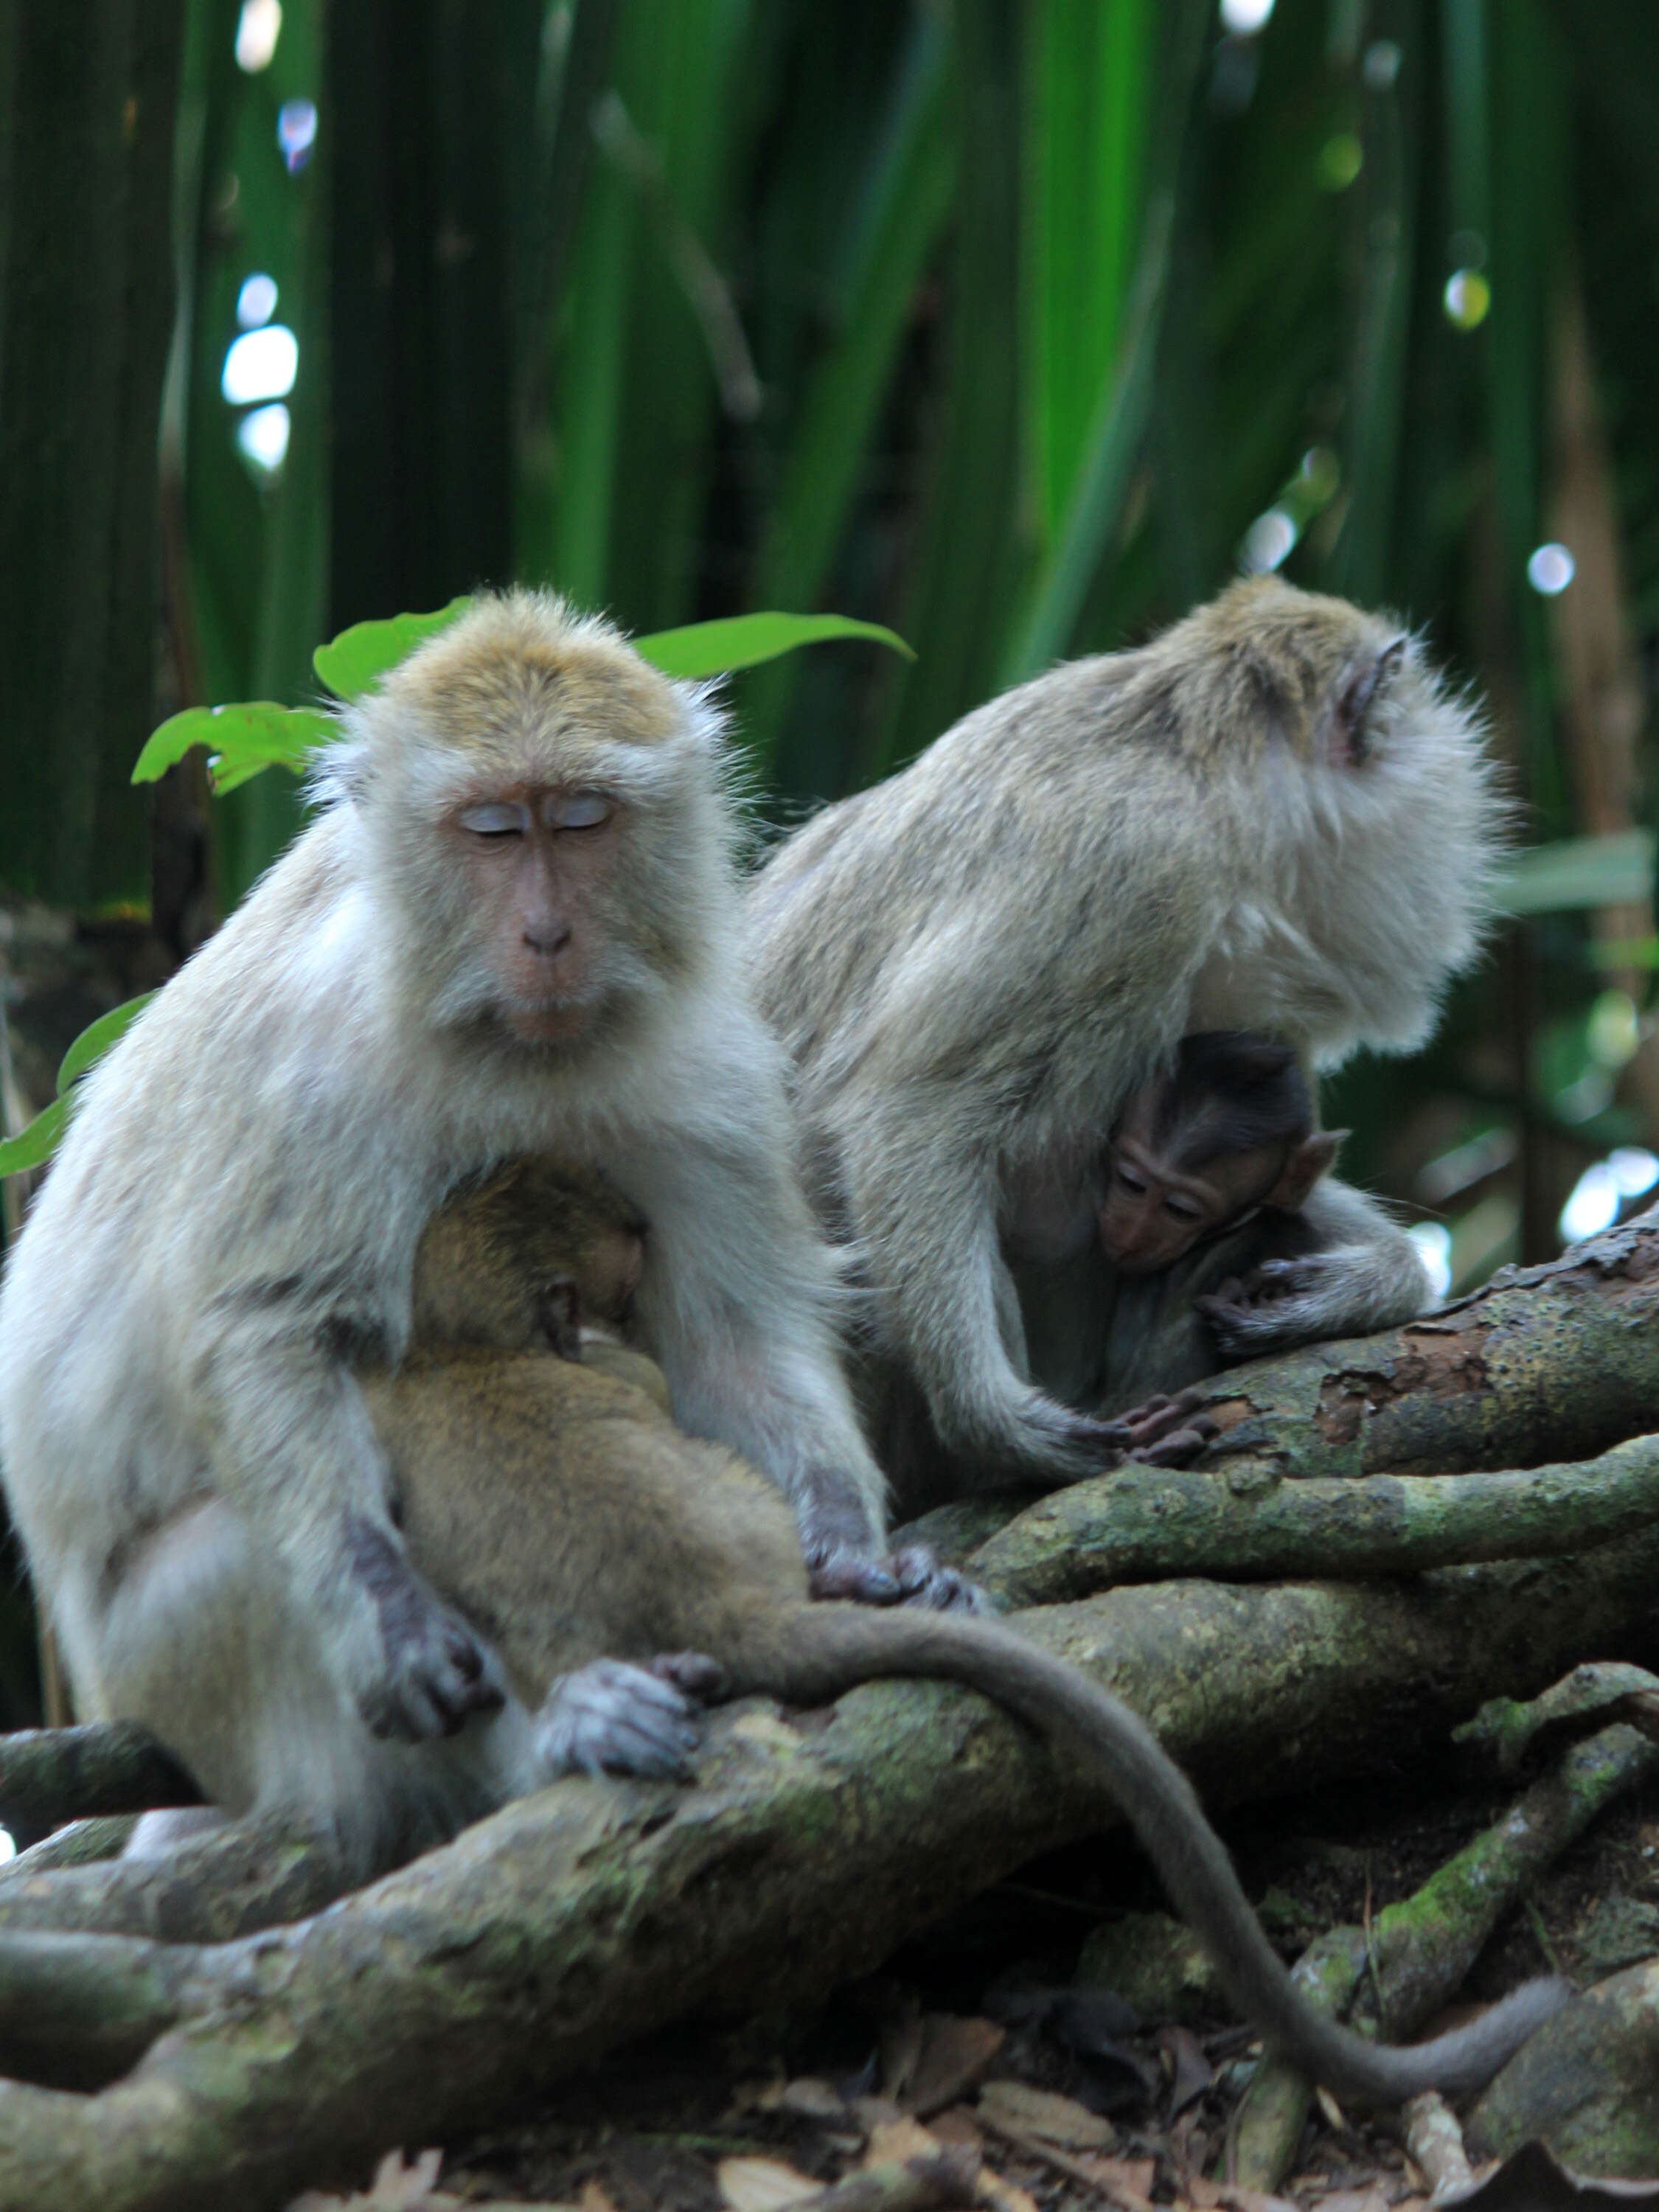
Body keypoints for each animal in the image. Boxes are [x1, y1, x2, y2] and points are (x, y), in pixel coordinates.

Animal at [0, 584, 938, 1867]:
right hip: (157, 1667)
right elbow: (265, 1334)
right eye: (492, 831)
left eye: (580, 821)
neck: (496, 1028)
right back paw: (558, 1732)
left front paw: (848, 1550)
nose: (546, 936)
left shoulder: (707, 1050)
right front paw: (394, 1621)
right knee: (243, 1554)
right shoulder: (320, 1062)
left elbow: (734, 1337)